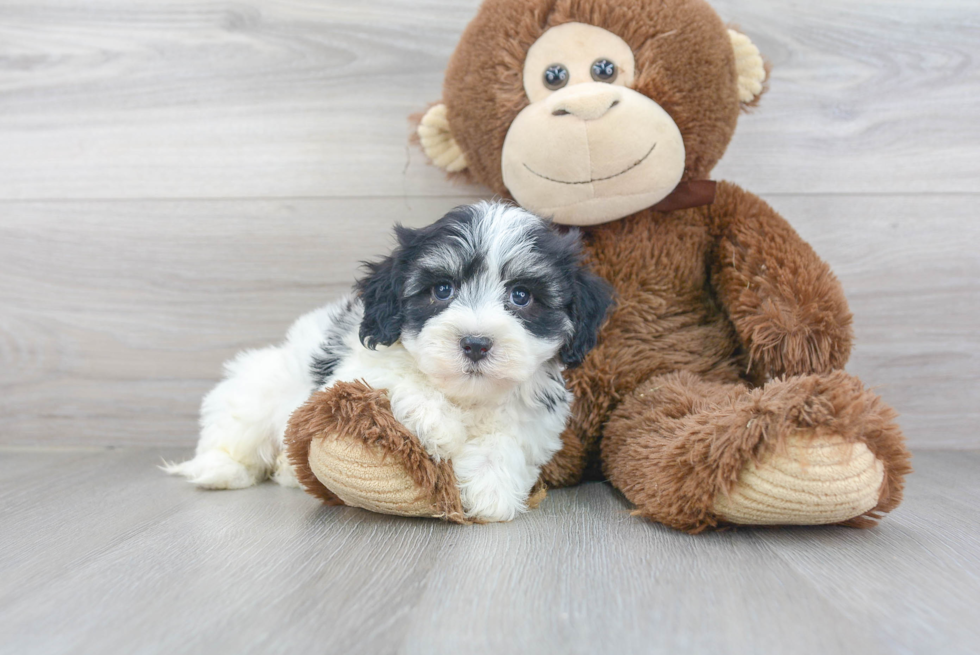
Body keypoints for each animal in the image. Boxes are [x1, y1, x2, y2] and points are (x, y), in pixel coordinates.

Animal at [167, 201, 612, 524]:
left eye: (521, 296)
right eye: (442, 290)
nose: (475, 343)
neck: (466, 395)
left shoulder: (535, 419)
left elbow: (505, 443)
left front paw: (491, 490)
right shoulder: (354, 369)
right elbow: (398, 380)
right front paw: (441, 427)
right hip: (259, 388)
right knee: (236, 429)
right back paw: (218, 471)